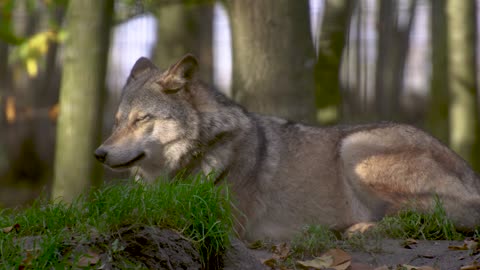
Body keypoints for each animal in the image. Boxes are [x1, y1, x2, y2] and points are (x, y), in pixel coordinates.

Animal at [94, 53, 480, 242]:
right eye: (117, 120)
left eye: (141, 119)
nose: (99, 154)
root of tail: (473, 175)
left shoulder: (222, 223)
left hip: (354, 148)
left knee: (426, 219)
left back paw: (355, 229)